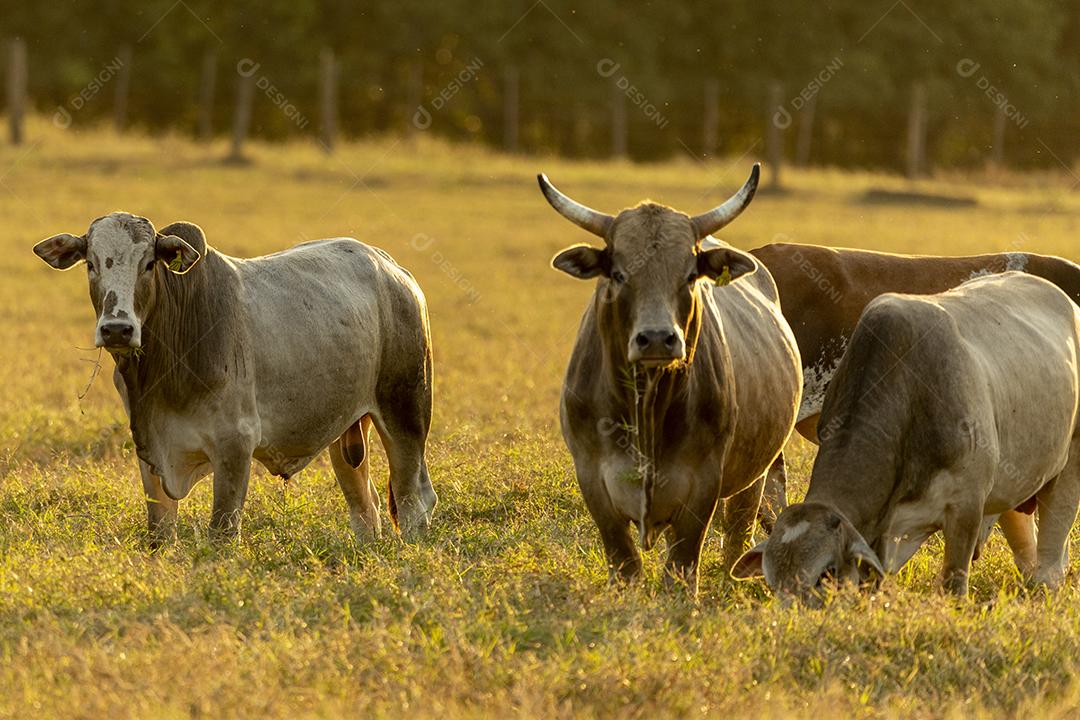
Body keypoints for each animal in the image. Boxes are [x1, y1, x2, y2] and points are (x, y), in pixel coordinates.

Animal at [34, 213, 438, 546]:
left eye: (148, 264)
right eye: (91, 263)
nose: (117, 329)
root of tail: (394, 270)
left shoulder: (235, 445)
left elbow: (222, 536)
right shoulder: (150, 451)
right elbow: (159, 535)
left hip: (405, 412)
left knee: (413, 498)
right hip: (347, 430)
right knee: (365, 506)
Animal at [540, 166, 803, 595]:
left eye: (690, 274)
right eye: (618, 273)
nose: (657, 338)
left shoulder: (703, 483)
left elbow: (681, 565)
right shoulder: (592, 477)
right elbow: (624, 560)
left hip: (757, 473)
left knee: (739, 529)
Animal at [734, 273, 1080, 604]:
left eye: (825, 574)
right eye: (772, 581)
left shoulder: (966, 508)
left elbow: (953, 586)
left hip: (1067, 471)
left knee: (1050, 561)